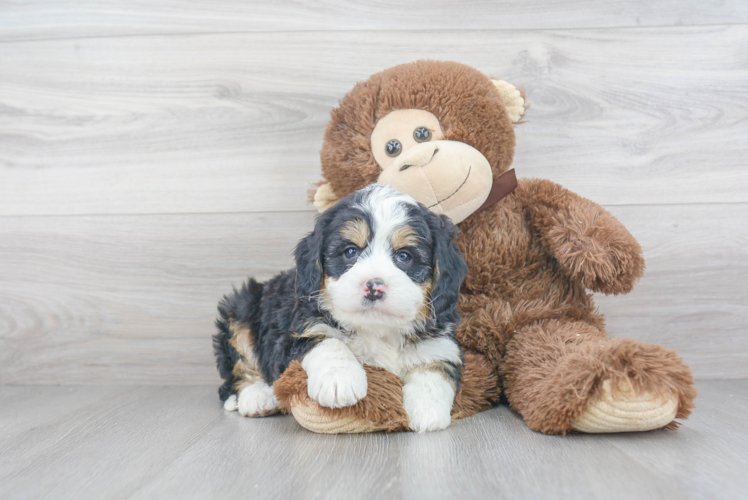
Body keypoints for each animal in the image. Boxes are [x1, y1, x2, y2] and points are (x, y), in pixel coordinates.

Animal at [212, 186, 468, 432]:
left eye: (404, 256)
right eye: (350, 252)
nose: (374, 286)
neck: (377, 328)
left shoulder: (440, 341)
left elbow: (434, 369)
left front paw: (427, 411)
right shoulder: (302, 327)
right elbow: (329, 342)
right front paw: (339, 381)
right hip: (242, 308)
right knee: (239, 366)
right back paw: (257, 397)